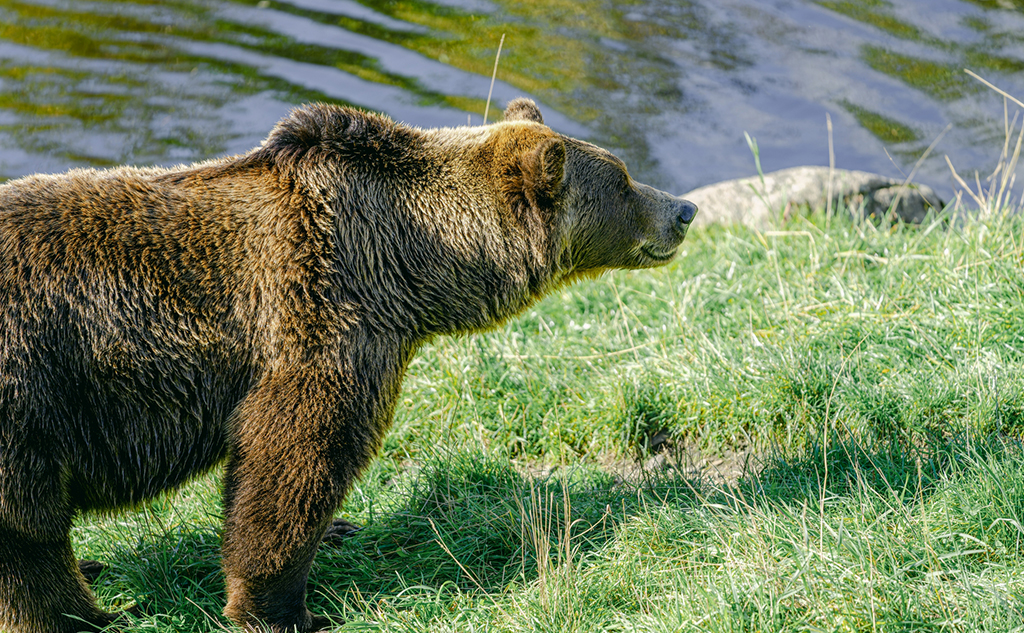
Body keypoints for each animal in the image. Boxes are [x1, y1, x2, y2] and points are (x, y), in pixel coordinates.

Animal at [0, 98, 696, 630]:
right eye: (624, 178)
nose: (684, 210)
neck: (407, 265)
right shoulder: (318, 320)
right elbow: (293, 458)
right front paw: (283, 608)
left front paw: (337, 532)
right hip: (31, 388)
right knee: (28, 533)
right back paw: (84, 613)